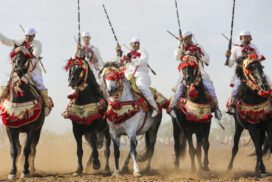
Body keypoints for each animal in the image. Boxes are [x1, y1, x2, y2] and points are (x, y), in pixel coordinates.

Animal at [0, 47, 45, 180]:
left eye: (25, 58)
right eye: (14, 59)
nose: (18, 70)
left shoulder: (31, 129)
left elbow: (27, 150)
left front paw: (25, 171)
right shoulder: (10, 129)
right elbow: (14, 150)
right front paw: (12, 172)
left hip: (38, 130)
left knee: (33, 149)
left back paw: (32, 169)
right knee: (19, 148)